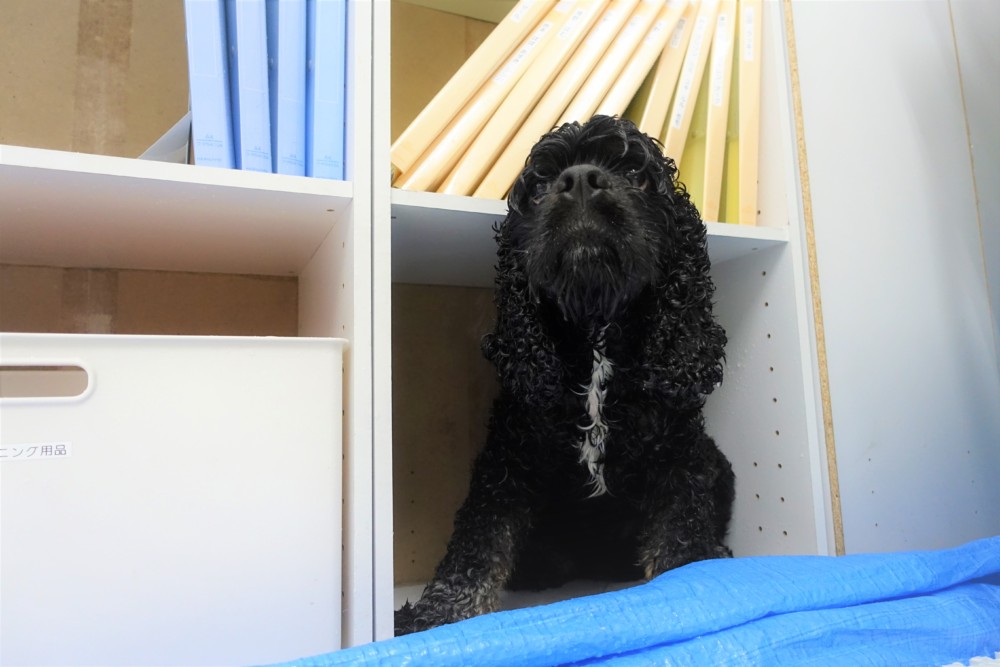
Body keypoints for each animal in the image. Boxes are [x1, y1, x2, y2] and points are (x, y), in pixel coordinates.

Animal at [395, 115, 735, 635]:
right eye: (538, 186)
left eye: (635, 173)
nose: (579, 179)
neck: (596, 341)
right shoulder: (506, 461)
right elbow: (478, 540)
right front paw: (442, 612)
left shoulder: (682, 458)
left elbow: (682, 536)